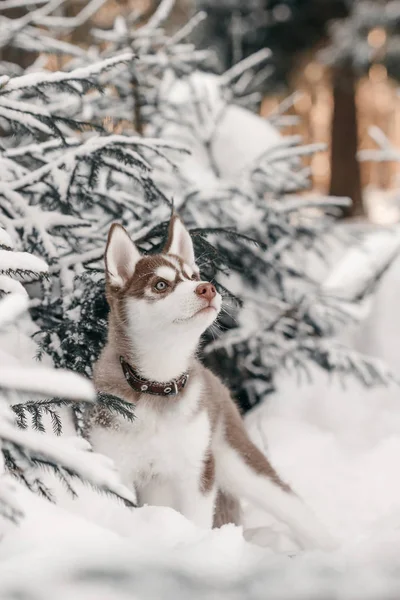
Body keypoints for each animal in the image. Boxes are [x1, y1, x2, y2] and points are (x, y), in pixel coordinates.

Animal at [89, 216, 336, 548]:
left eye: (193, 276)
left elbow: (197, 521)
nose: (207, 288)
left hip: (235, 459)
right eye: (161, 285)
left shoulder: (197, 471)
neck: (158, 385)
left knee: (291, 503)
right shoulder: (117, 465)